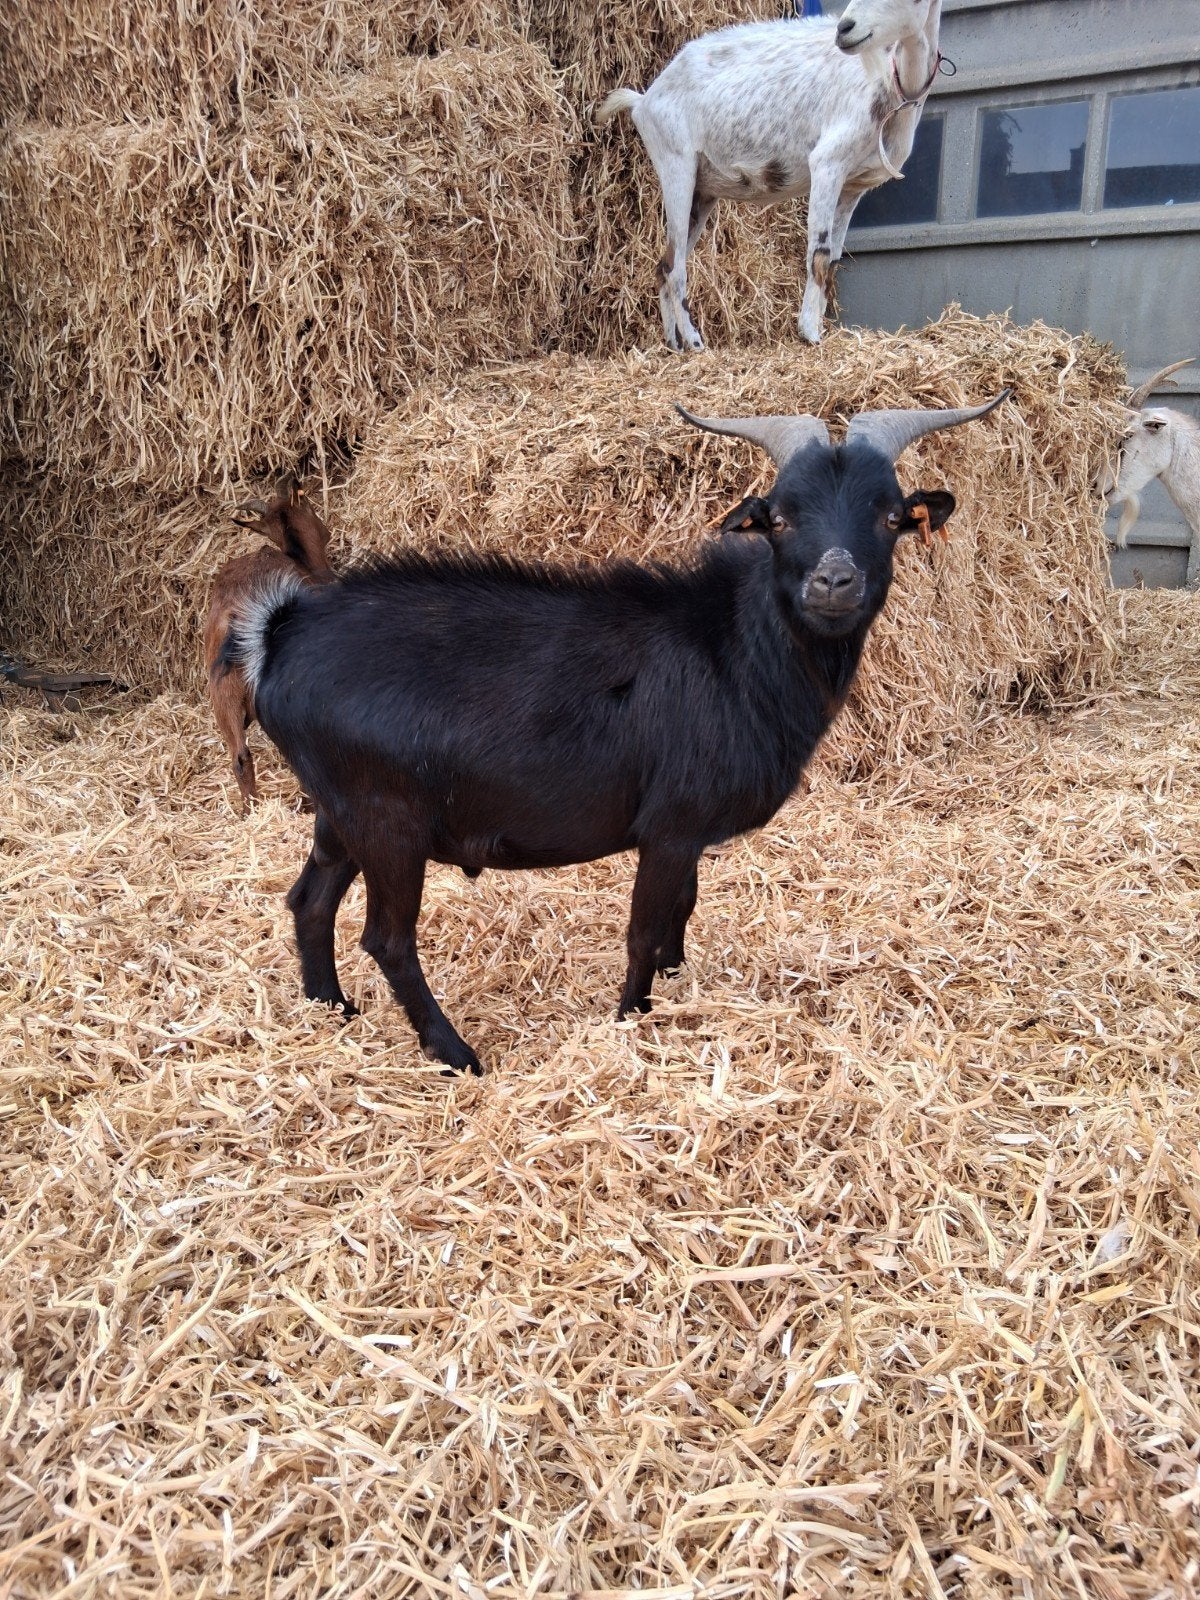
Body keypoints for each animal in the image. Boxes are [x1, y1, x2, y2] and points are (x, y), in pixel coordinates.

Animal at [204, 479, 335, 810]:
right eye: (308, 504)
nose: (326, 530)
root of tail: (236, 616)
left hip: (222, 695)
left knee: (240, 758)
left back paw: (249, 811)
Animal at [231, 390, 1007, 1073]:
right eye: (781, 519)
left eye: (890, 516)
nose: (833, 582)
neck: (732, 648)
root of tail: (280, 635)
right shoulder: (669, 825)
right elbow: (643, 931)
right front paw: (631, 1018)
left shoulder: (690, 834)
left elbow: (680, 917)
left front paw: (675, 987)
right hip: (385, 817)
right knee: (388, 939)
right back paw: (454, 1052)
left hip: (338, 810)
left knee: (309, 900)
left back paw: (330, 1008)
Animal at [595, 0, 944, 350]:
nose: (845, 29)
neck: (888, 81)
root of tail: (643, 100)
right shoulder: (827, 162)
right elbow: (819, 254)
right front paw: (810, 334)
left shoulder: (852, 186)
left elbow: (832, 259)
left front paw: (820, 330)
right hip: (675, 165)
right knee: (675, 267)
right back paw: (694, 343)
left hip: (701, 191)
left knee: (665, 264)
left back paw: (673, 345)